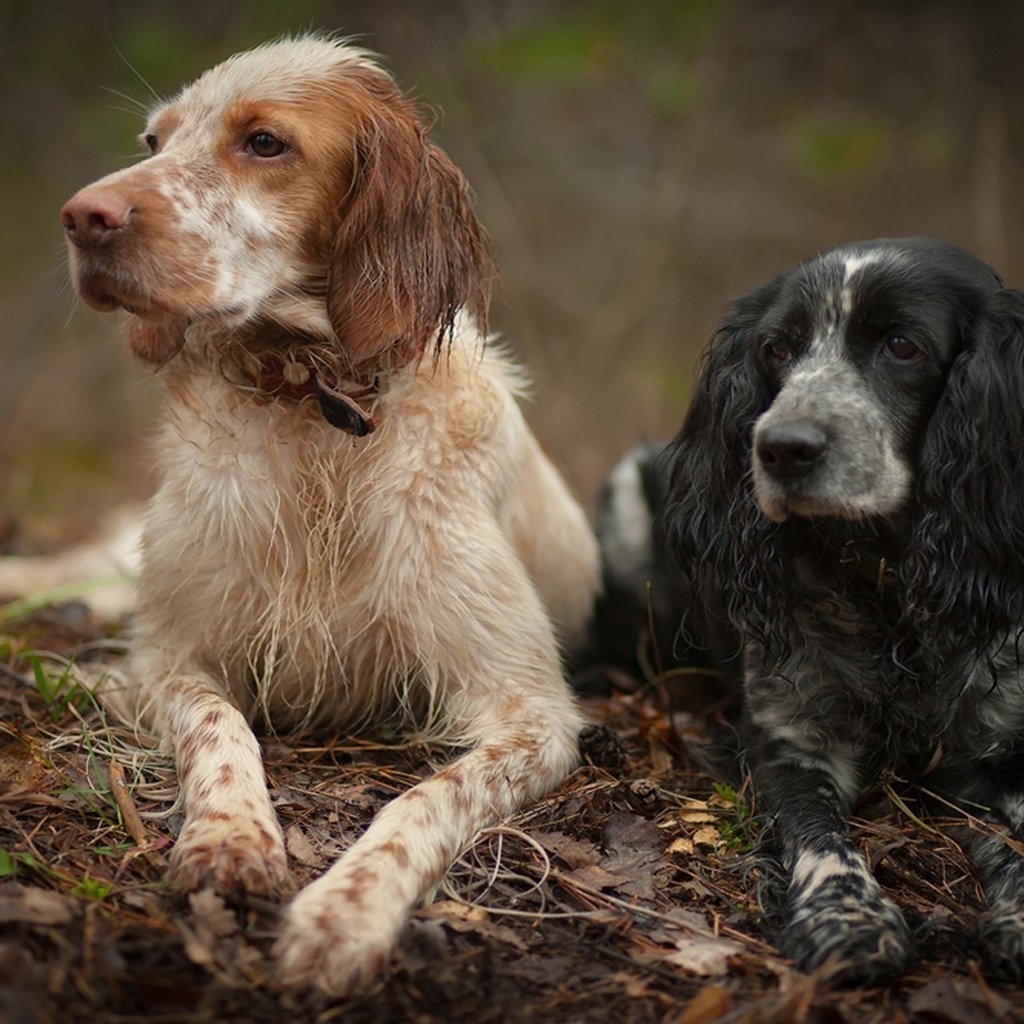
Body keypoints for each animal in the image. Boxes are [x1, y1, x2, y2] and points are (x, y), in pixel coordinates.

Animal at [56, 36, 598, 995]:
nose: (82, 216)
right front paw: (230, 840)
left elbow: (423, 799)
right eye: (154, 140)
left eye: (264, 142)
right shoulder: (165, 654)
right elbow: (222, 730)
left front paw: (345, 913)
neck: (314, 405)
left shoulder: (532, 711)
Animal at [606, 237, 1024, 983]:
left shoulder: (994, 753)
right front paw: (849, 920)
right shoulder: (790, 742)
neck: (885, 591)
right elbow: (819, 837)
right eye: (778, 348)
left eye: (901, 346)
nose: (781, 448)